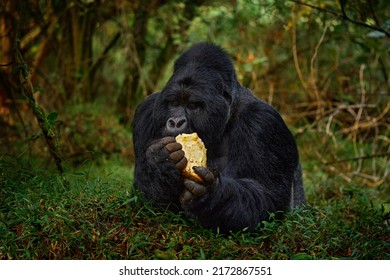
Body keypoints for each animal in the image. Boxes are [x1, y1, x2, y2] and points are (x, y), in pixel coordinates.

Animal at [133, 42, 306, 232]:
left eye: (192, 105)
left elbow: (267, 196)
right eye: (174, 103)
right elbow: (146, 202)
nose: (176, 122)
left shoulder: (263, 122)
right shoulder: (147, 111)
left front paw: (210, 194)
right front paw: (159, 161)